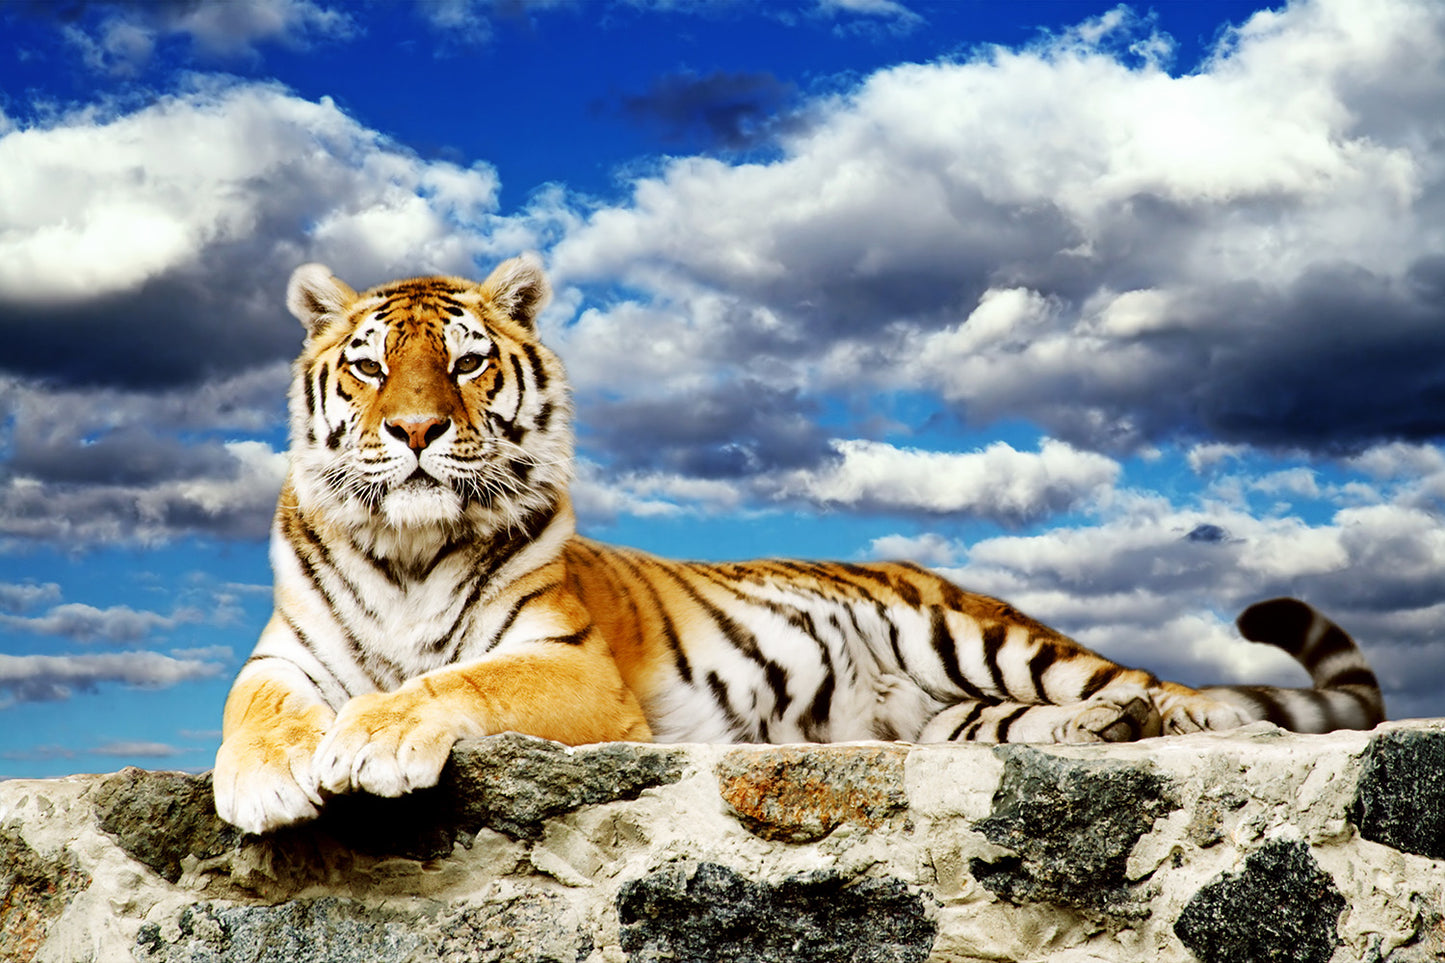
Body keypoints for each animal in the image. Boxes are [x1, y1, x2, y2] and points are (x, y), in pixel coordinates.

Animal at [212, 254, 1386, 836]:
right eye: (369, 367)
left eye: (462, 364)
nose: (414, 431)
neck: (406, 550)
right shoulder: (288, 655)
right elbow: (253, 710)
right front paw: (266, 782)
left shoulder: (568, 665)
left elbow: (459, 682)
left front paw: (368, 741)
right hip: (953, 711)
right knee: (1040, 720)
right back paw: (1100, 732)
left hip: (985, 637)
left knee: (1175, 691)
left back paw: (1194, 719)